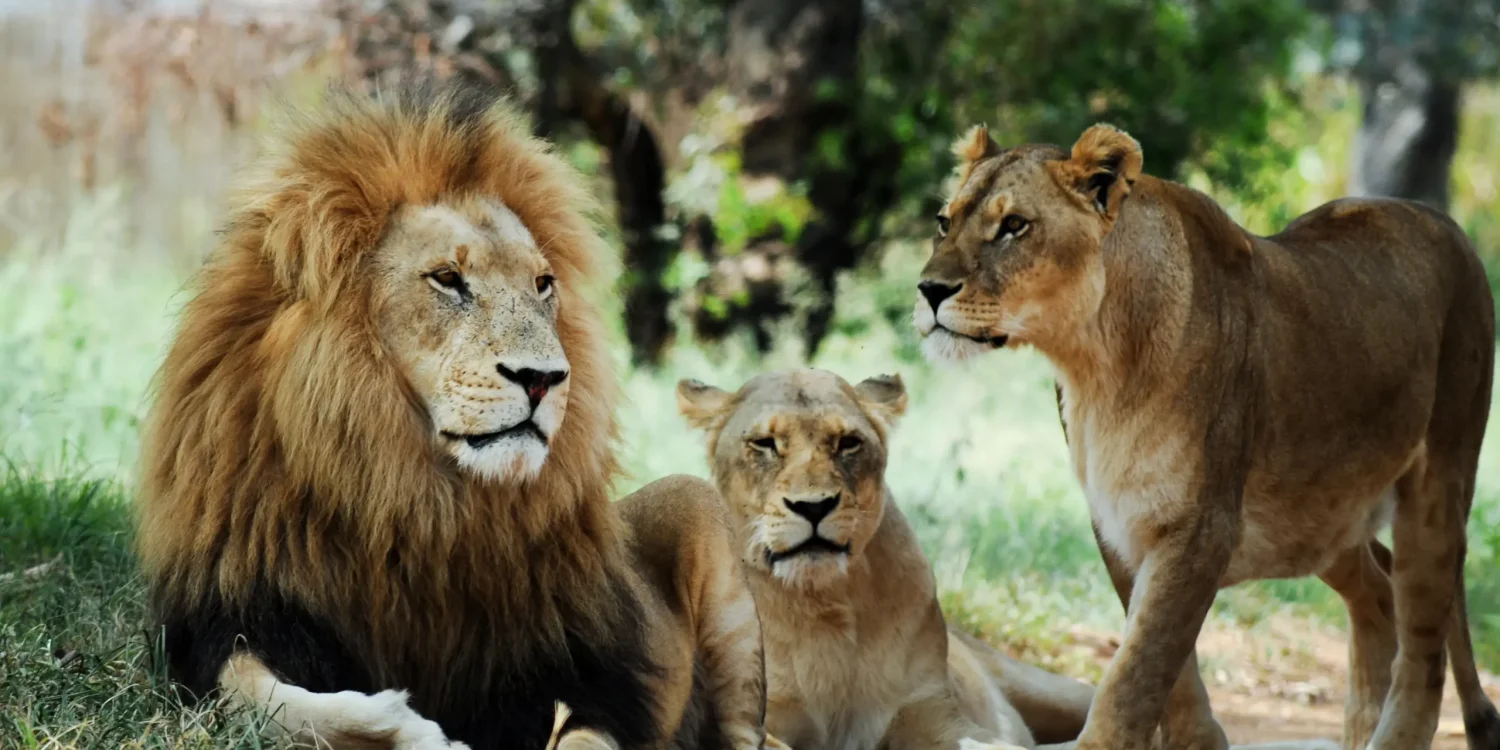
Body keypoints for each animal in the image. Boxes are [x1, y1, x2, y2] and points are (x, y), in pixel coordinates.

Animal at [135, 79, 772, 750]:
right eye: (447, 278)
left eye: (543, 283)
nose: (545, 379)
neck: (416, 499)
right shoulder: (235, 624)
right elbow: (270, 699)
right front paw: (415, 729)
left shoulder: (590, 671)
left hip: (703, 526)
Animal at [675, 368, 1098, 750]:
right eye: (764, 443)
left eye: (848, 443)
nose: (814, 507)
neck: (824, 603)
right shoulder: (747, 721)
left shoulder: (928, 709)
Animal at [913, 122, 1499, 750]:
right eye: (944, 221)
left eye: (1015, 226)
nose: (928, 290)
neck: (1095, 365)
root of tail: (1442, 221)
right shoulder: (1118, 523)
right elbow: (1167, 670)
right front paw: (1198, 739)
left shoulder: (1202, 525)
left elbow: (1137, 669)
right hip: (1317, 517)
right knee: (1379, 588)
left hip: (1436, 486)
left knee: (1423, 649)